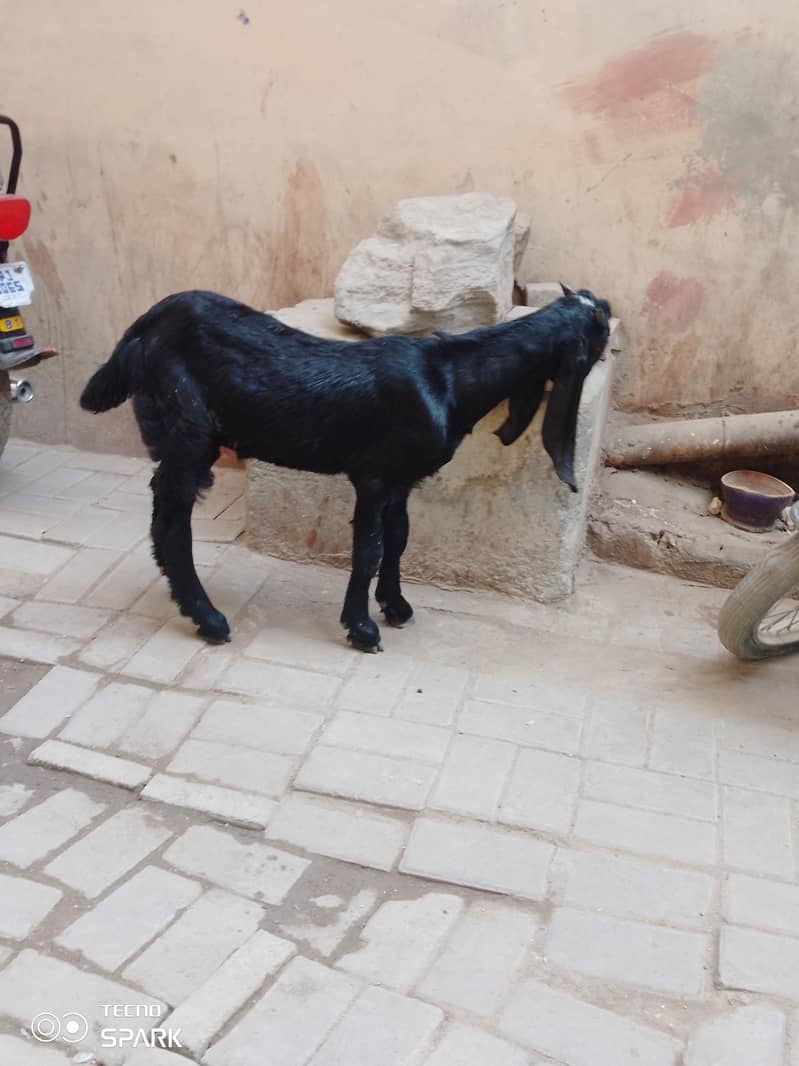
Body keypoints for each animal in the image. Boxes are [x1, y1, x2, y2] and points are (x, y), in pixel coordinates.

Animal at [80, 283, 611, 652]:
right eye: (601, 329)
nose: (607, 311)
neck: (448, 378)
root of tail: (144, 327)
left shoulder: (403, 479)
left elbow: (399, 539)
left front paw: (396, 606)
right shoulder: (373, 475)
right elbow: (369, 549)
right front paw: (362, 628)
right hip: (187, 428)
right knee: (172, 519)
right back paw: (206, 617)